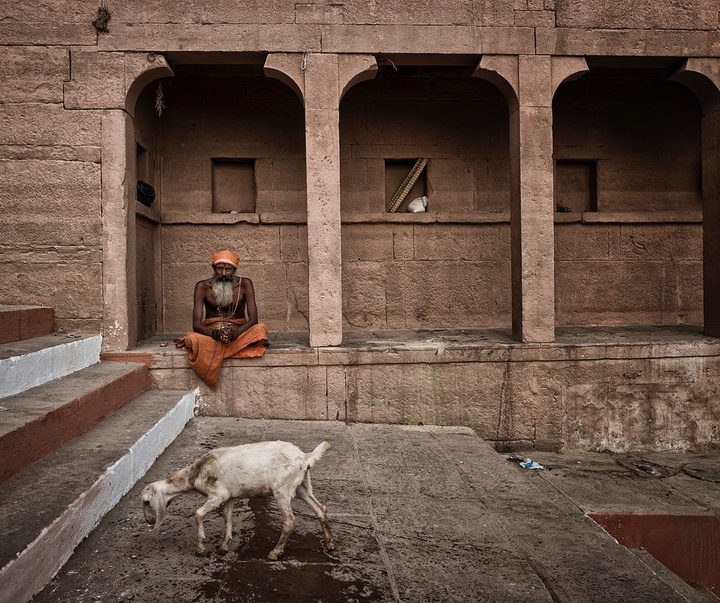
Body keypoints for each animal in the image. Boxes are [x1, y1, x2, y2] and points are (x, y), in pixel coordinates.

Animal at [142, 438, 336, 560]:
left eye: (146, 501)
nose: (149, 521)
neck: (195, 473)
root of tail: (304, 457)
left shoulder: (218, 495)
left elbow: (198, 514)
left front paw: (201, 548)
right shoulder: (229, 496)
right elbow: (227, 517)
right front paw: (224, 545)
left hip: (282, 489)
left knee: (289, 519)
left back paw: (275, 552)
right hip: (302, 486)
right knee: (320, 509)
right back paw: (329, 544)